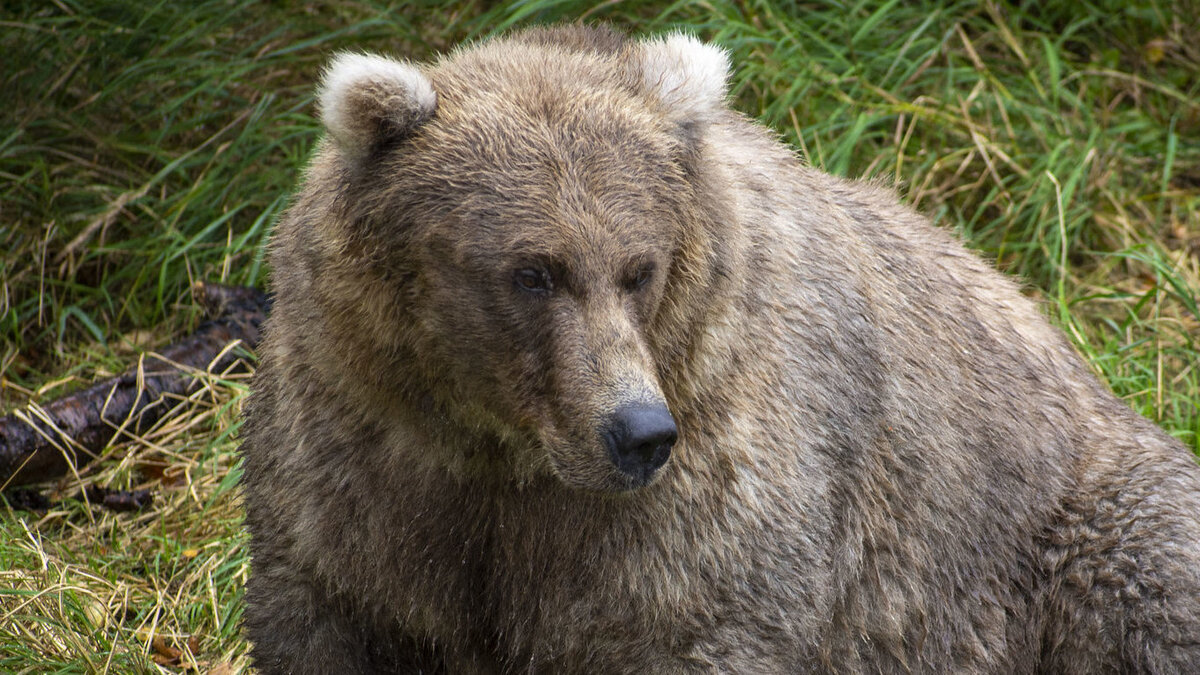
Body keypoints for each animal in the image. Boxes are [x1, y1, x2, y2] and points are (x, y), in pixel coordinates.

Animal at [240, 24, 1200, 673]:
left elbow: (698, 616)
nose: (636, 431)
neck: (503, 452)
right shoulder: (362, 469)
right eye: (532, 271)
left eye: (640, 266)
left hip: (1067, 522)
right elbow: (324, 609)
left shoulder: (705, 494)